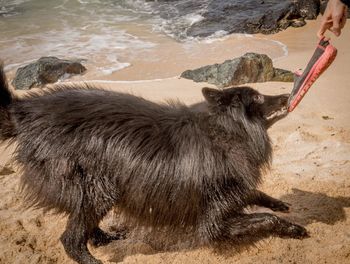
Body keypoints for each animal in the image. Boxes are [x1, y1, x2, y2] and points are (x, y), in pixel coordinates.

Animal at [0, 64, 306, 264]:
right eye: (257, 97)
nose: (286, 95)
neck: (225, 131)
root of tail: (24, 110)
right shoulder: (214, 223)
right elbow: (264, 219)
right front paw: (292, 229)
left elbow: (255, 196)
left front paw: (276, 202)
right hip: (99, 189)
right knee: (71, 239)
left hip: (94, 190)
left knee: (81, 223)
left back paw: (102, 237)